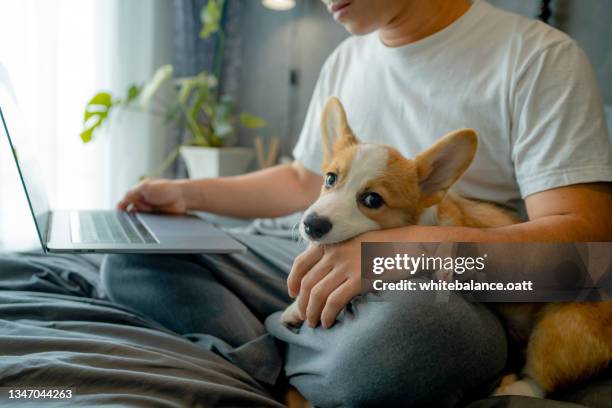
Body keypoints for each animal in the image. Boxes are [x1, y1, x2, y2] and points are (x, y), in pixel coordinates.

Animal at [280, 97, 608, 400]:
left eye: (372, 200)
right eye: (330, 179)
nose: (311, 224)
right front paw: (294, 308)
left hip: (561, 328)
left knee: (541, 377)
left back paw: (512, 389)